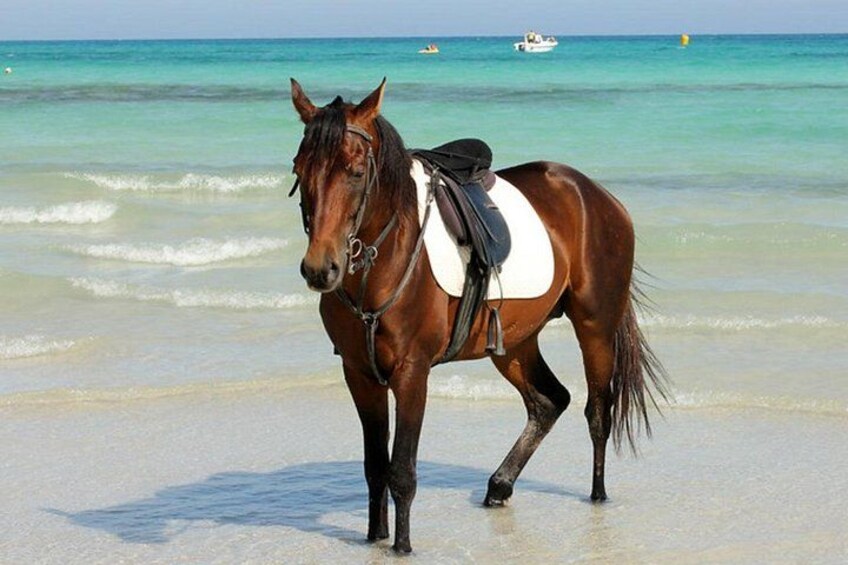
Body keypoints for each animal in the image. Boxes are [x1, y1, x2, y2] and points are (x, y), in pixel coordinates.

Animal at [288, 78, 668, 553]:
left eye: (356, 172)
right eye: (299, 170)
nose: (320, 268)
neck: (385, 261)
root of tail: (596, 195)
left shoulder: (412, 373)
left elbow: (401, 470)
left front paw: (402, 546)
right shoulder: (360, 374)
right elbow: (375, 466)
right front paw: (376, 537)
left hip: (595, 327)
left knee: (598, 411)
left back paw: (597, 496)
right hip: (515, 342)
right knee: (549, 401)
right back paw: (500, 486)